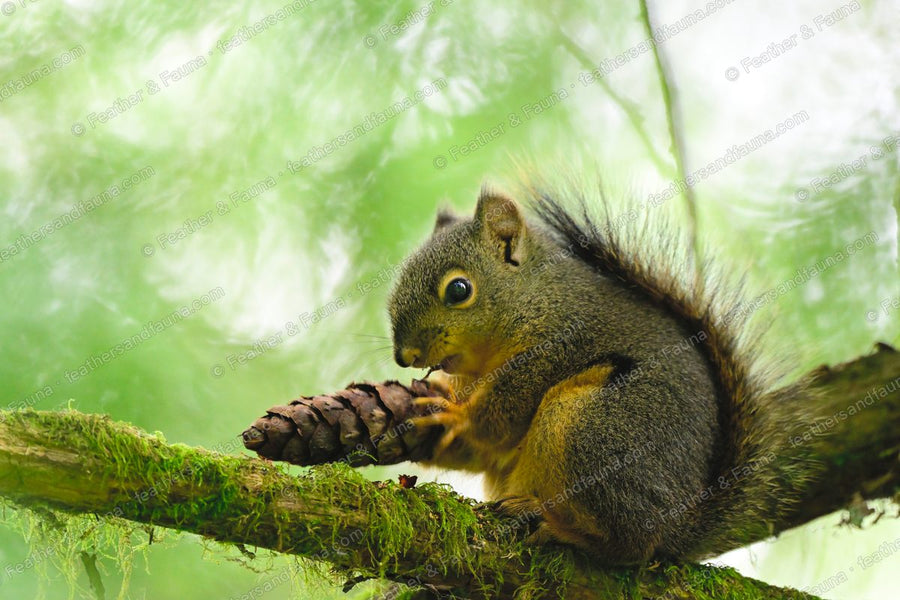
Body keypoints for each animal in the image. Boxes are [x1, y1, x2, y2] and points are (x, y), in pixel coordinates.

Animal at [387, 184, 811, 564]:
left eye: (459, 290)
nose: (404, 356)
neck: (534, 298)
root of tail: (679, 525)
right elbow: (479, 451)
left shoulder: (555, 348)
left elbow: (501, 415)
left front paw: (456, 415)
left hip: (592, 429)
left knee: (629, 546)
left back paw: (559, 527)